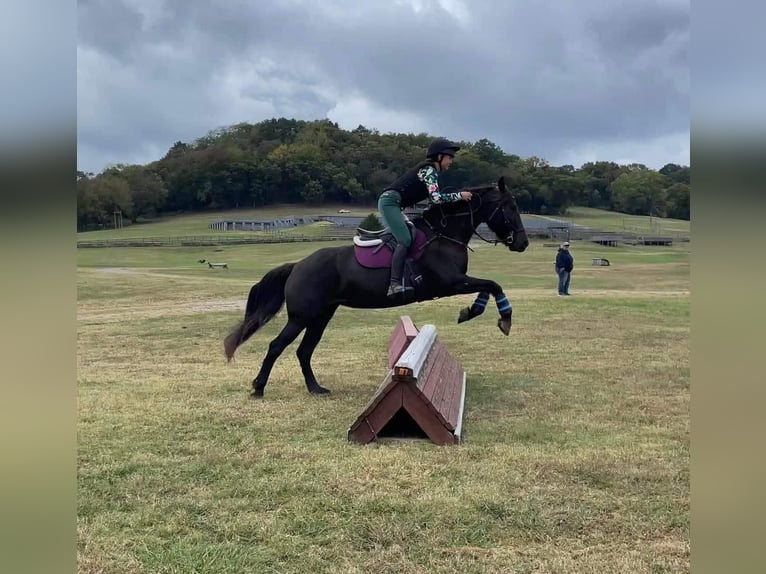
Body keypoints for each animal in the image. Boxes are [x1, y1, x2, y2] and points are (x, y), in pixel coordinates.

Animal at [225, 178, 532, 398]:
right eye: (510, 208)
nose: (523, 243)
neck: (444, 234)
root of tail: (298, 265)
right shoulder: (451, 282)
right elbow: (493, 285)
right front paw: (499, 318)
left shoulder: (457, 282)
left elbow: (489, 286)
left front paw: (474, 311)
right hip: (302, 316)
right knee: (277, 346)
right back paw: (258, 388)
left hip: (321, 316)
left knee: (304, 351)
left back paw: (315, 388)